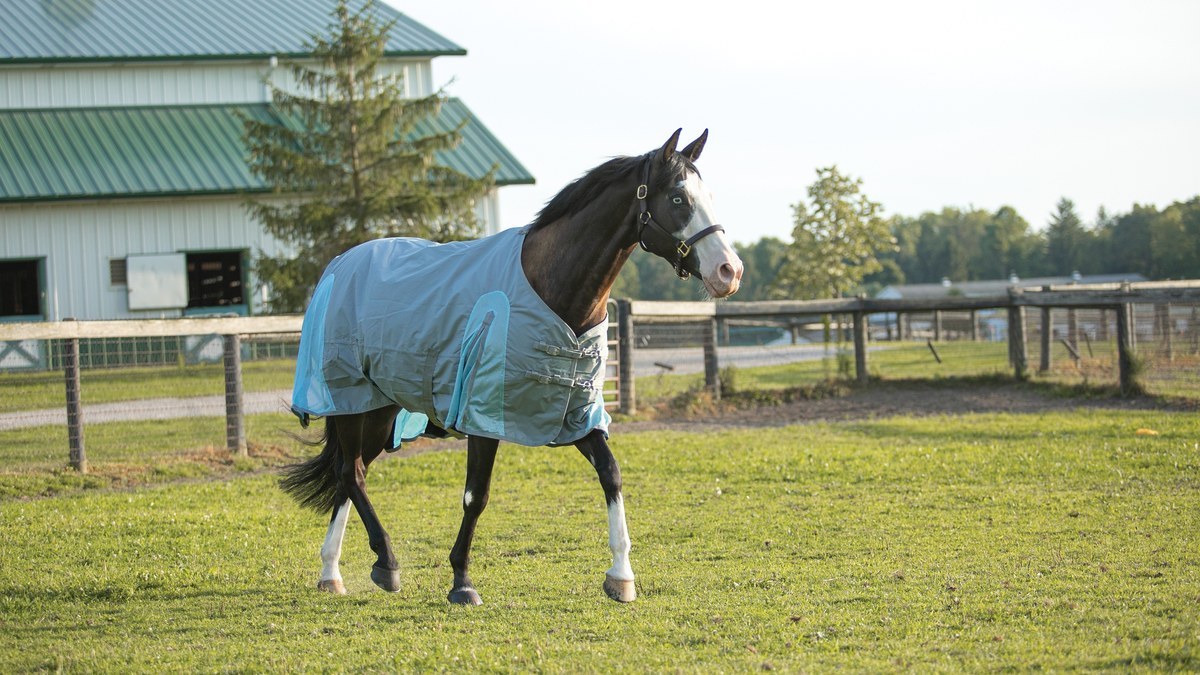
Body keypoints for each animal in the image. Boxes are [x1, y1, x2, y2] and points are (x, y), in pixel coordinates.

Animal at [280, 129, 744, 605]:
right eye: (677, 198)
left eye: (707, 195)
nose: (730, 271)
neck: (553, 288)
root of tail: (340, 265)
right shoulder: (483, 416)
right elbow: (476, 496)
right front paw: (462, 581)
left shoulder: (575, 414)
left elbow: (611, 475)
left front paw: (621, 576)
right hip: (349, 401)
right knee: (350, 474)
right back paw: (385, 562)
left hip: (379, 410)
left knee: (348, 476)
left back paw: (333, 572)